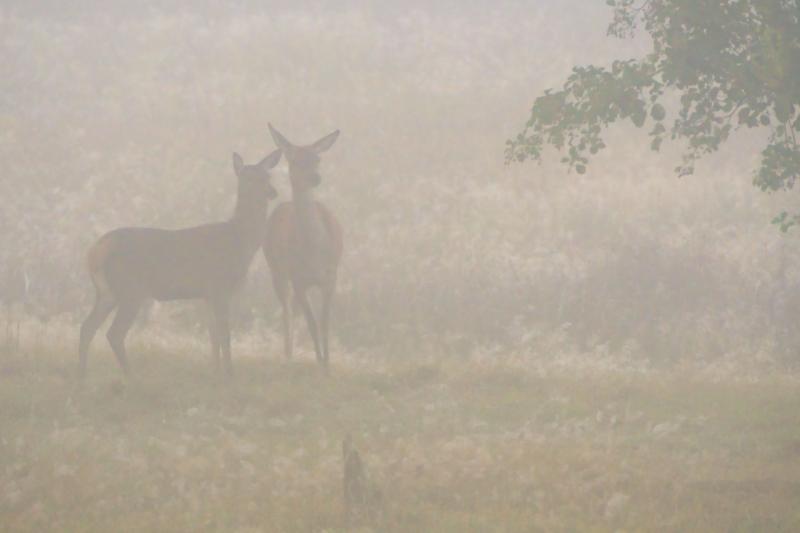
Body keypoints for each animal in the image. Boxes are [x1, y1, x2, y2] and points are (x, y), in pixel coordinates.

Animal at [78, 150, 282, 378]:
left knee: (86, 328)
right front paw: (229, 375)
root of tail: (95, 250)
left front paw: (215, 373)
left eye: (267, 176)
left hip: (107, 292)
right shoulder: (219, 287)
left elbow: (213, 337)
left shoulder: (207, 294)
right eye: (248, 178)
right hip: (130, 289)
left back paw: (82, 377)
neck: (240, 241)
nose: (272, 192)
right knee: (114, 333)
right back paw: (132, 377)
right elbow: (224, 335)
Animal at [260, 125, 340, 370]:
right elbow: (312, 323)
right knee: (287, 310)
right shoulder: (298, 279)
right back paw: (288, 353)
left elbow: (324, 323)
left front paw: (327, 363)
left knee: (293, 310)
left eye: (317, 158)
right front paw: (320, 363)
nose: (315, 177)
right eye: (294, 159)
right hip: (276, 269)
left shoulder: (331, 277)